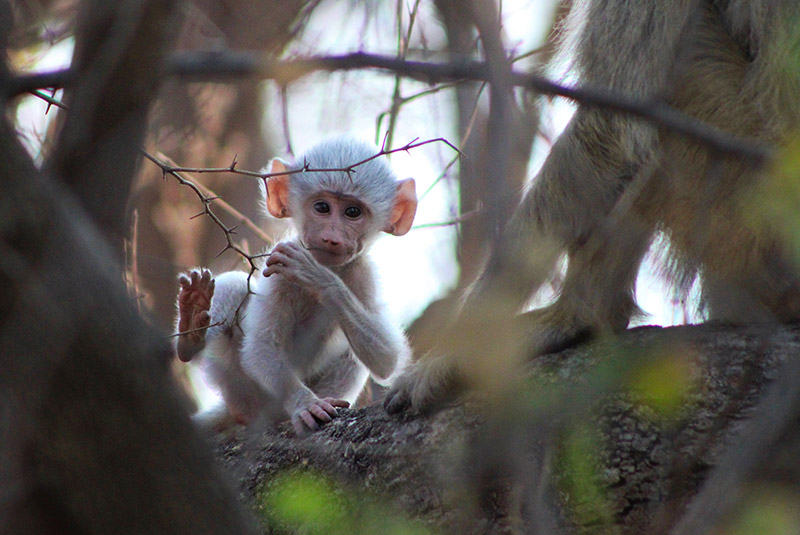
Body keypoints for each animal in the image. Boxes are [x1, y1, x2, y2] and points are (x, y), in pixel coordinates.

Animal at [176, 137, 417, 433]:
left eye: (352, 212)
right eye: (322, 207)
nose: (331, 238)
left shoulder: (363, 272)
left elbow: (387, 358)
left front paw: (317, 276)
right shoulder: (278, 270)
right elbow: (261, 345)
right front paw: (305, 403)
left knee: (352, 351)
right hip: (239, 387)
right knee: (234, 287)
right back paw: (191, 331)